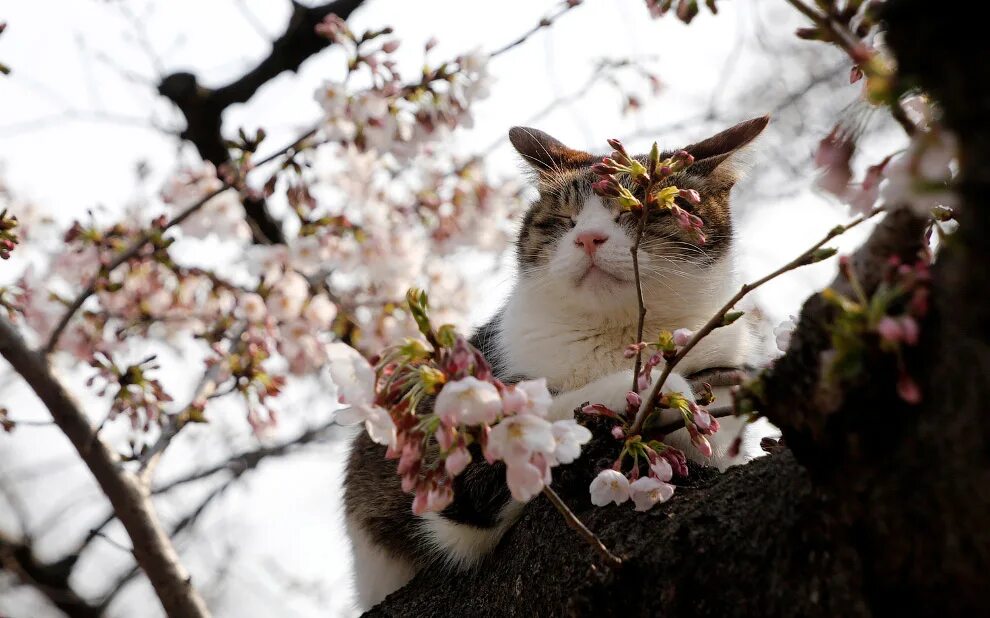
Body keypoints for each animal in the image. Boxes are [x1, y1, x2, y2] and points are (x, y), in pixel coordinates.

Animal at [344, 115, 780, 608]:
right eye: (563, 220)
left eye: (639, 213)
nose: (588, 237)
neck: (620, 336)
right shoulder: (458, 486)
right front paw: (660, 391)